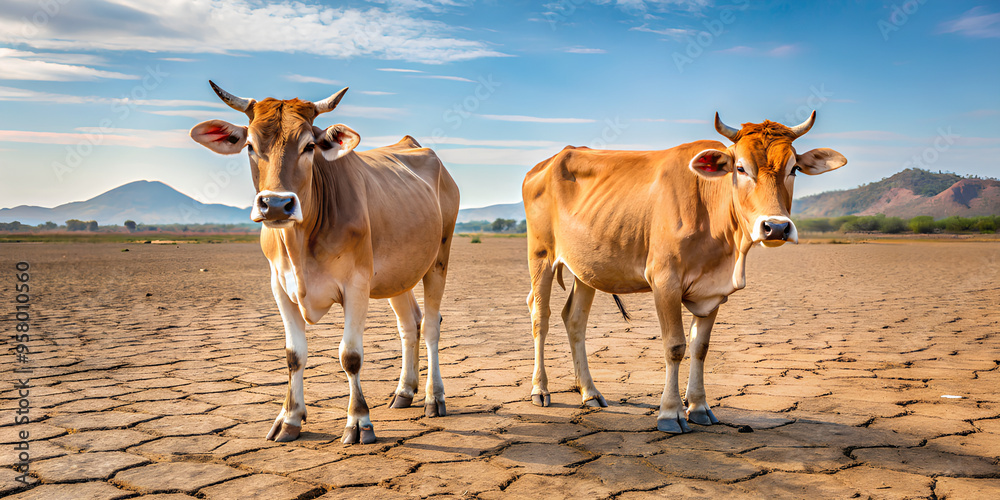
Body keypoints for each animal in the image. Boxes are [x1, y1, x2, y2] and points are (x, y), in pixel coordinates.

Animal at [189, 80, 458, 444]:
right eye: (249, 146)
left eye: (309, 146)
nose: (276, 204)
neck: (300, 244)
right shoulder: (280, 287)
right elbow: (294, 355)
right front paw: (290, 418)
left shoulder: (357, 284)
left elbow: (350, 356)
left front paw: (359, 421)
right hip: (398, 274)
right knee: (409, 323)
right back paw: (404, 391)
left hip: (438, 258)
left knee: (431, 325)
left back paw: (433, 396)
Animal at [524, 111, 844, 432]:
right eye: (740, 168)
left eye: (794, 169)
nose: (776, 227)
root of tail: (545, 164)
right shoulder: (665, 281)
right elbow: (675, 346)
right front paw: (670, 412)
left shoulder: (713, 291)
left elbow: (700, 346)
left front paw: (700, 407)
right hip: (541, 255)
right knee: (541, 316)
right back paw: (540, 389)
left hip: (586, 268)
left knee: (574, 319)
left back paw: (589, 392)